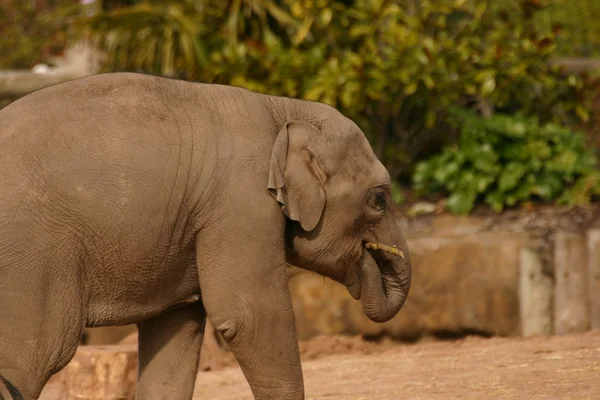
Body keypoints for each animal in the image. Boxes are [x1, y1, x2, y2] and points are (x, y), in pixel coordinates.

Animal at [0, 72, 410, 400]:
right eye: (379, 199)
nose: (371, 257)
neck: (282, 109)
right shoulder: (239, 203)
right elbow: (248, 314)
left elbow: (174, 334)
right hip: (33, 256)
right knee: (37, 352)